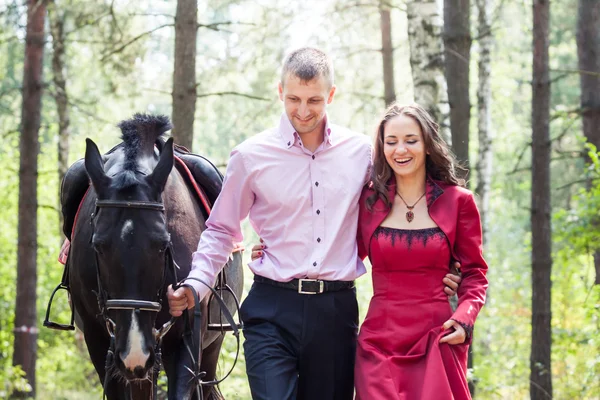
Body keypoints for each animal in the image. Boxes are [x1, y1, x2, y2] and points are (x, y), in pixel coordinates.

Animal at [66, 114, 244, 398]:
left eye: (162, 245)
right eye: (98, 246)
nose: (135, 353)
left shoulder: (186, 340)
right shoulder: (101, 343)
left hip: (208, 348)